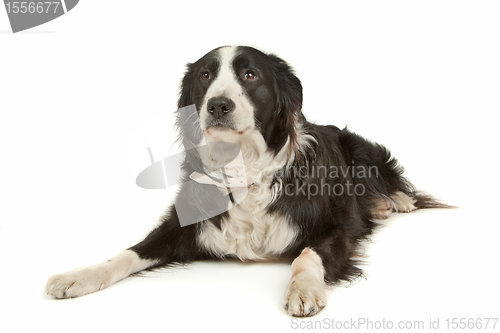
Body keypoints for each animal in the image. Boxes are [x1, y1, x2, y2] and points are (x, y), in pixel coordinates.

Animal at [45, 45, 448, 316]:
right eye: (205, 76)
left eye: (250, 75)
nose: (218, 105)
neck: (242, 162)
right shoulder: (183, 224)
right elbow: (130, 251)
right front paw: (79, 276)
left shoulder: (335, 228)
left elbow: (309, 254)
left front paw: (303, 289)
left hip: (358, 147)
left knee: (388, 179)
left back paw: (392, 202)